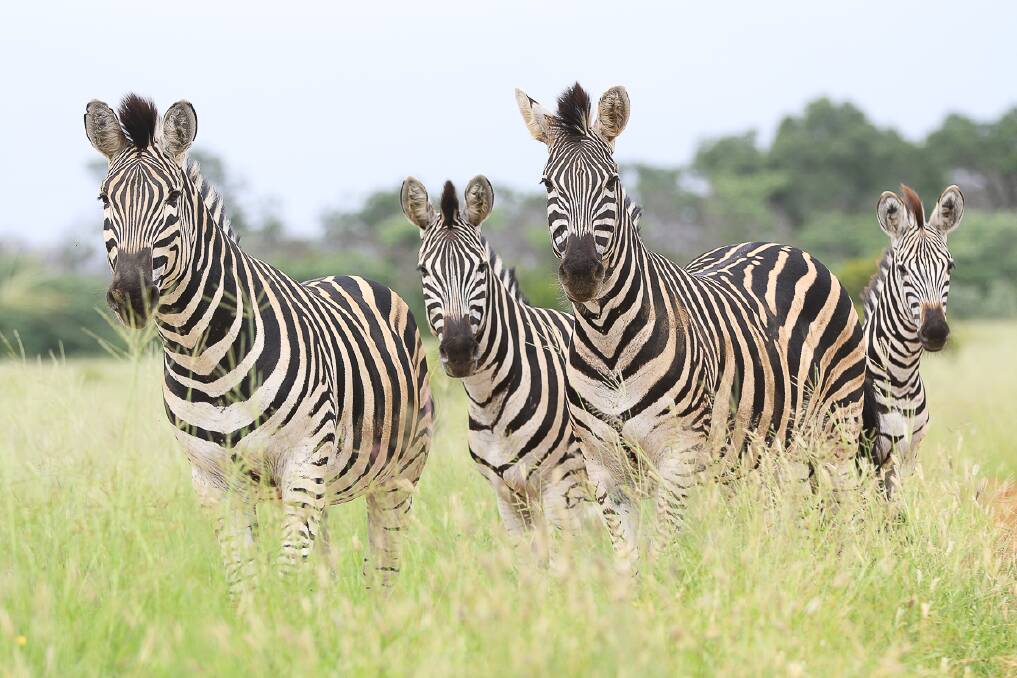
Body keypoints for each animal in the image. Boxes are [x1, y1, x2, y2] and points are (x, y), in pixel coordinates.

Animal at [83, 94, 433, 595]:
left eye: (173, 198)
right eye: (104, 199)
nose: (132, 293)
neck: (204, 355)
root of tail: (355, 275)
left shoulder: (303, 461)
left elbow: (287, 575)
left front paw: (287, 617)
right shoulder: (212, 478)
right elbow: (244, 580)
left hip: (400, 470)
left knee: (383, 561)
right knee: (327, 557)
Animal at [401, 176, 592, 541]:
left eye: (480, 267)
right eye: (422, 270)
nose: (459, 350)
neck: (489, 400)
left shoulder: (564, 486)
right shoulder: (508, 496)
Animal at [515, 83, 867, 570]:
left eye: (612, 182)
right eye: (548, 185)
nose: (582, 272)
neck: (607, 342)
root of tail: (782, 245)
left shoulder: (678, 456)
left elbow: (664, 549)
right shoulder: (603, 467)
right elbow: (629, 559)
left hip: (836, 426)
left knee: (846, 507)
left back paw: (852, 568)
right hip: (759, 447)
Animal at [860, 184, 964, 495]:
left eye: (950, 267)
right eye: (903, 269)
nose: (935, 330)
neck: (901, 377)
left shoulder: (905, 458)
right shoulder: (870, 456)